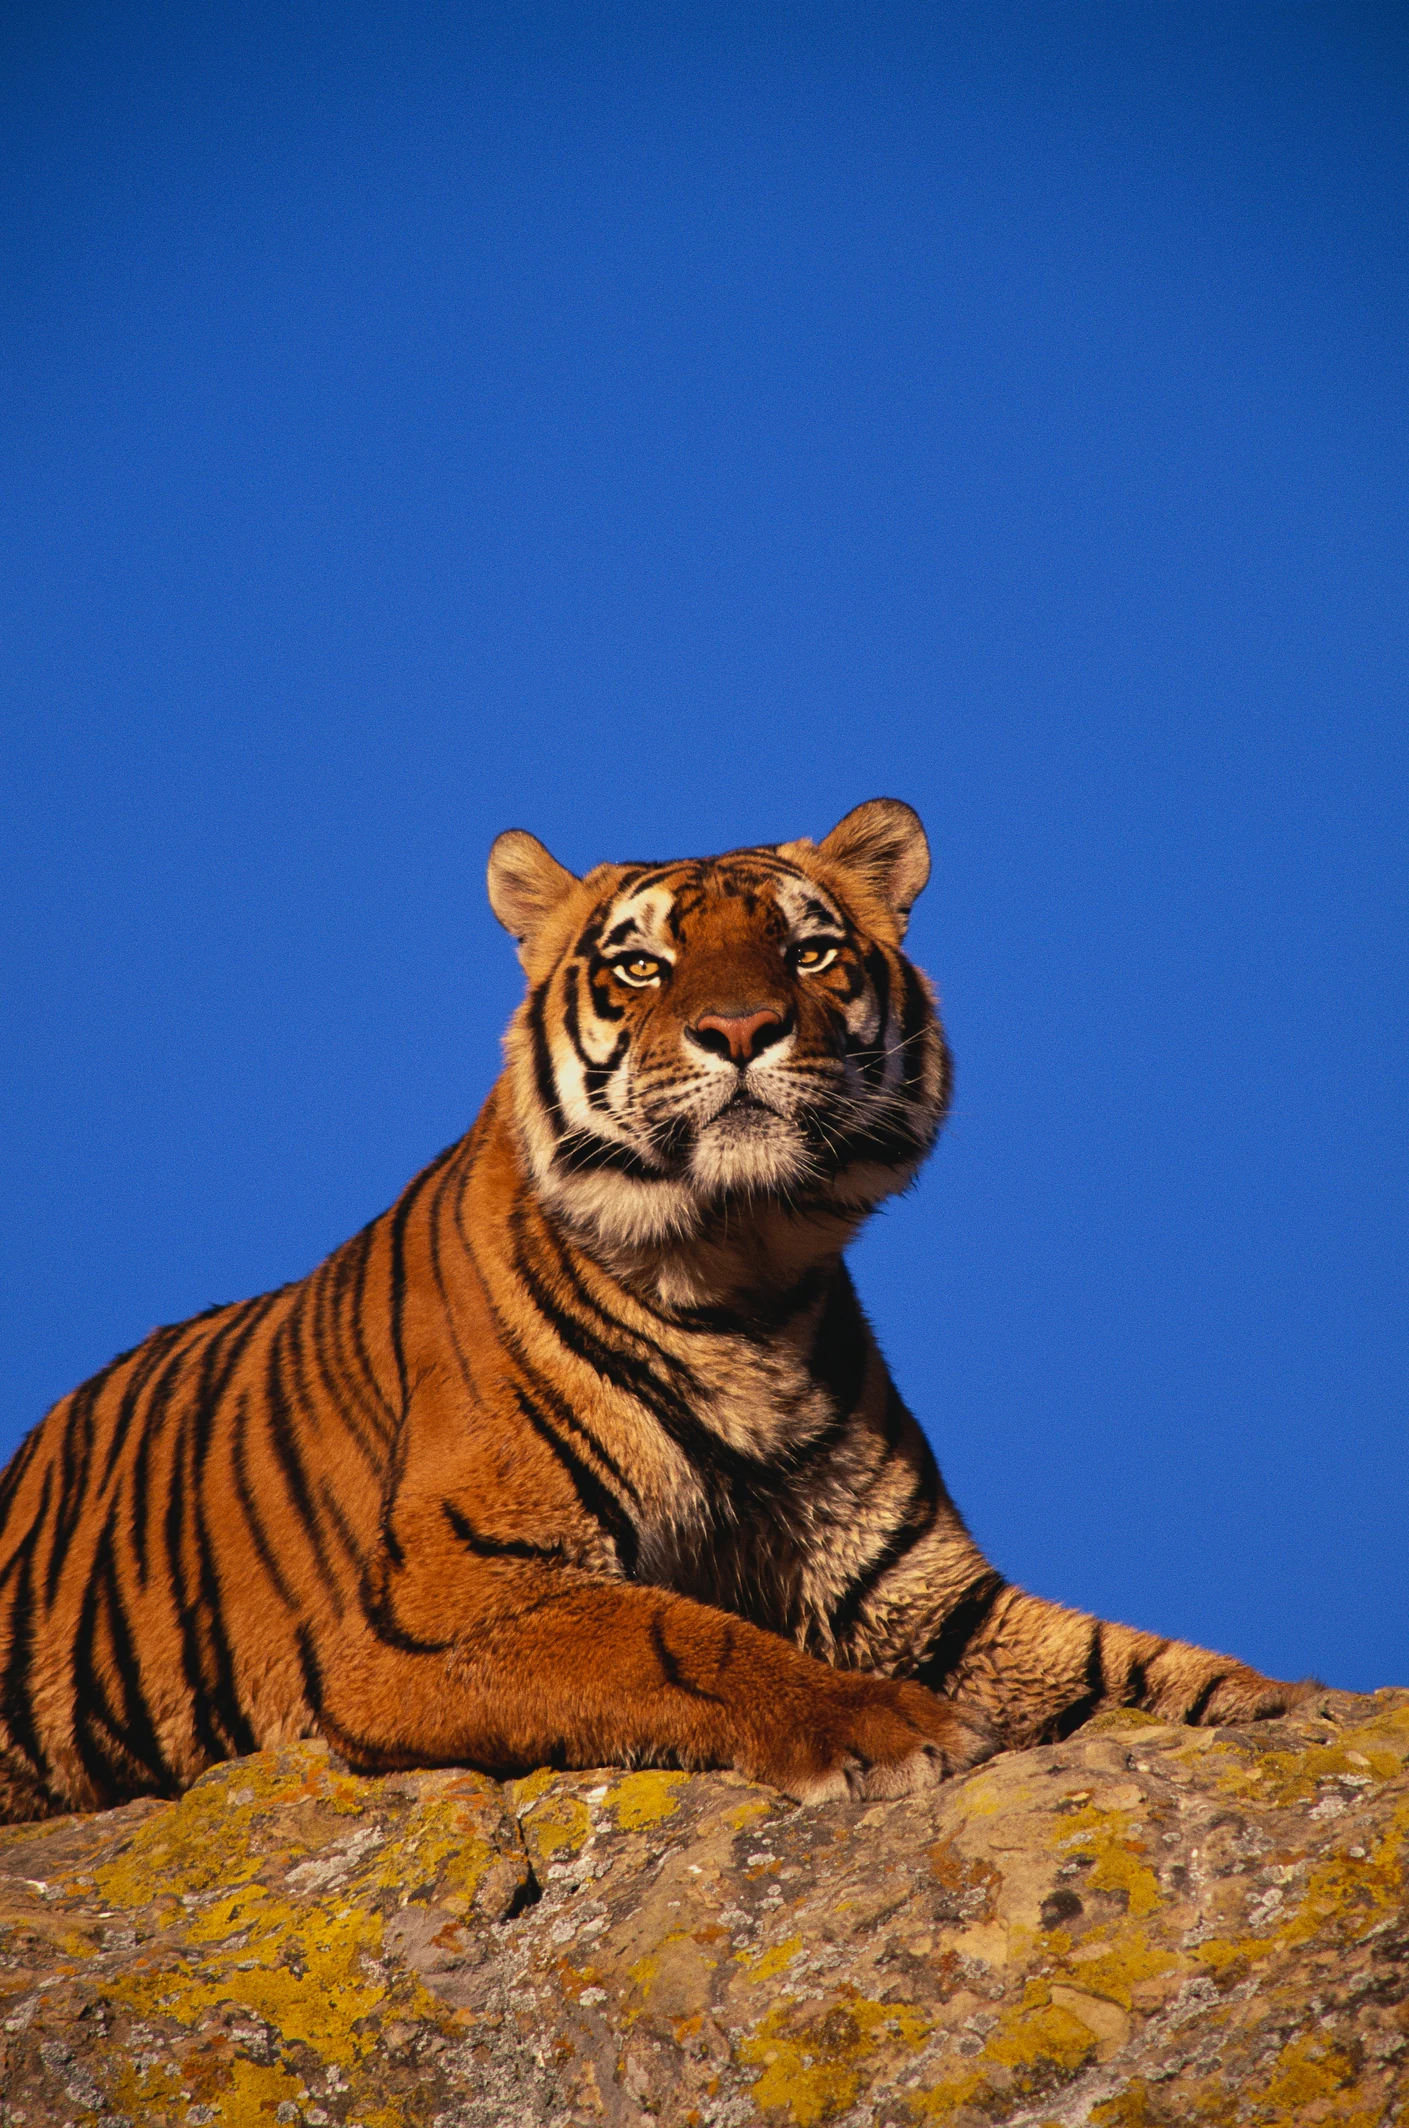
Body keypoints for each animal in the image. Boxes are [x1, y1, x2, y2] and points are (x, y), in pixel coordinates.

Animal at [0, 791, 1311, 1821]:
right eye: (640, 965)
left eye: (809, 952)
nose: (739, 1029)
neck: (742, 1280)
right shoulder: (436, 1607)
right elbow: (672, 1631)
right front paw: (881, 1728)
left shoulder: (927, 1599)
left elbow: (1124, 1659)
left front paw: (1287, 1708)